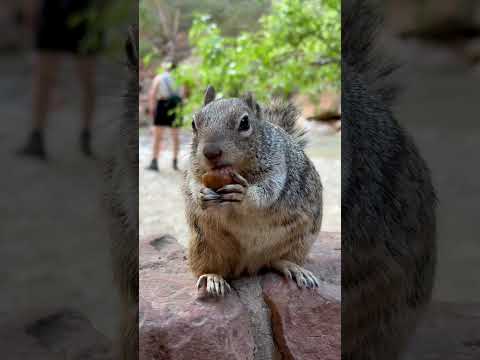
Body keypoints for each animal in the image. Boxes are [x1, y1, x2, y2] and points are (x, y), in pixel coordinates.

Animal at [183, 86, 322, 296]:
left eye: (244, 123)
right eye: (193, 123)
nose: (211, 152)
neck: (239, 169)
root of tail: (248, 264)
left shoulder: (277, 166)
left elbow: (268, 191)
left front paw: (243, 195)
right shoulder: (193, 169)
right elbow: (193, 183)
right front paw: (201, 195)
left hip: (300, 240)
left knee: (275, 261)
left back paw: (293, 268)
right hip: (203, 245)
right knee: (212, 267)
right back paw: (212, 278)